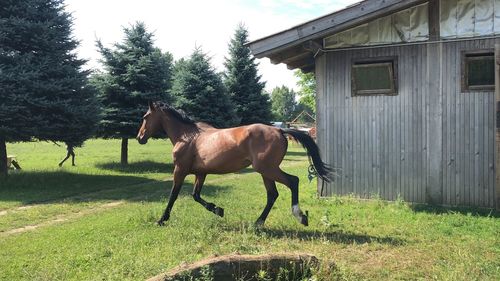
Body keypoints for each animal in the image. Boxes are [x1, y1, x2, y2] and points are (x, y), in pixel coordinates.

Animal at [137, 101, 332, 226]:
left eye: (145, 117)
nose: (140, 137)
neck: (187, 137)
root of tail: (279, 130)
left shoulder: (180, 170)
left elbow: (173, 195)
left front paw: (161, 220)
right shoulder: (201, 173)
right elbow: (196, 195)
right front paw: (217, 209)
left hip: (267, 169)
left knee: (292, 181)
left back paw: (299, 216)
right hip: (265, 172)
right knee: (272, 195)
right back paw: (258, 223)